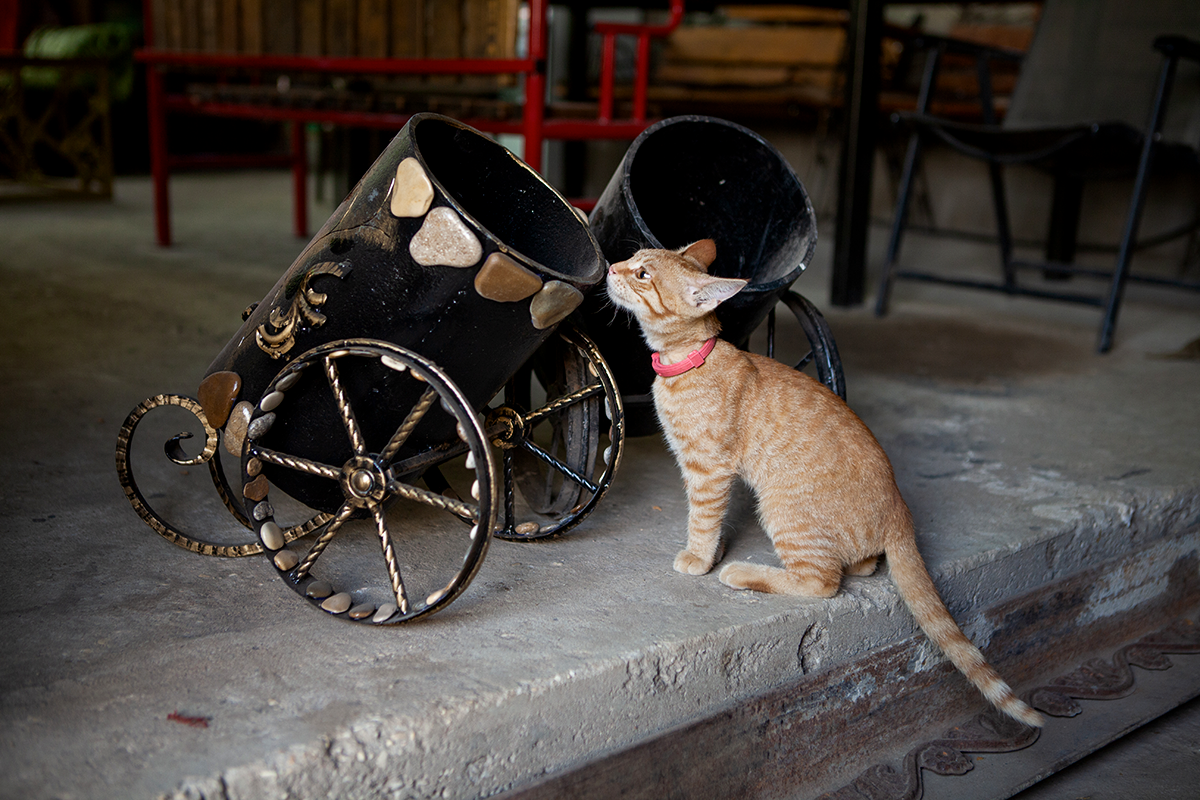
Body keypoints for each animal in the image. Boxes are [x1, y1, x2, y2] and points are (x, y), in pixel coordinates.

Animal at [609, 236, 1041, 724]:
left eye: (642, 274)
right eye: (632, 259)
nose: (610, 267)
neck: (691, 361)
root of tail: (901, 512)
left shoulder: (708, 470)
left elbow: (702, 518)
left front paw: (702, 558)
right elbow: (714, 520)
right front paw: (714, 549)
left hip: (782, 510)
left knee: (822, 583)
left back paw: (744, 573)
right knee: (863, 564)